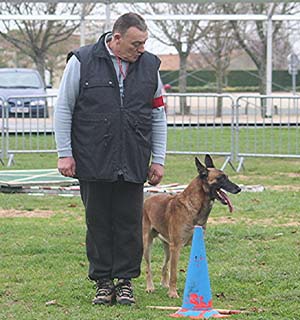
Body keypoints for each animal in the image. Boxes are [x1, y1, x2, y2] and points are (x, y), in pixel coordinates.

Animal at [143, 154, 241, 298]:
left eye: (227, 177)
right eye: (220, 178)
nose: (239, 189)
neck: (195, 207)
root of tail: (148, 199)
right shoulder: (176, 247)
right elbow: (174, 274)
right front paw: (173, 293)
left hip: (167, 248)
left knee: (164, 266)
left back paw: (164, 284)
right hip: (148, 244)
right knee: (148, 267)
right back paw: (150, 287)